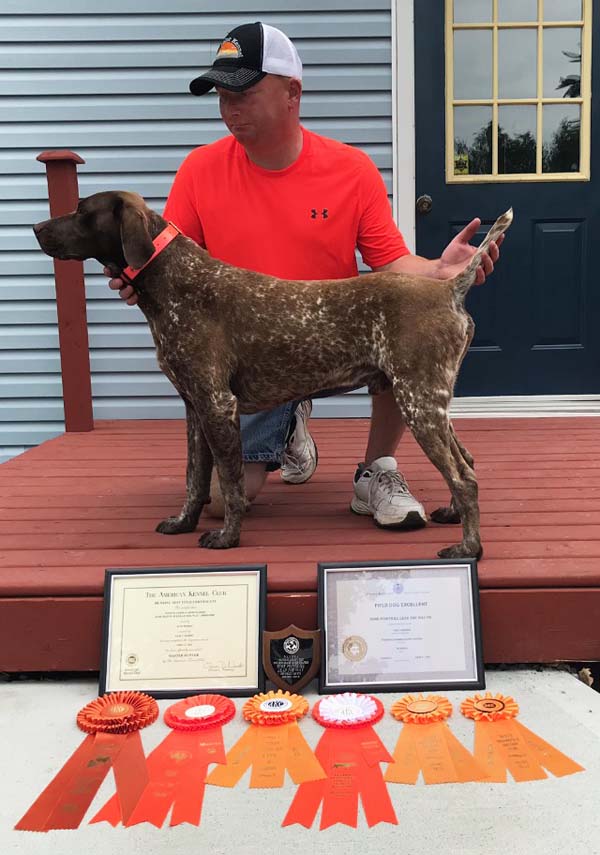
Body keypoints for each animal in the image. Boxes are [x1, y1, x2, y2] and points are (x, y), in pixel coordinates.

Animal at [34, 191, 510, 560]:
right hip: (427, 399)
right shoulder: (194, 407)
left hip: (417, 399)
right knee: (467, 460)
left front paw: (227, 537)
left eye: (81, 210)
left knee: (464, 476)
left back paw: (469, 547)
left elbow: (229, 483)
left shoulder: (217, 405)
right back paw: (452, 516)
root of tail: (449, 289)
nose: (37, 227)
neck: (175, 283)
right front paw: (184, 522)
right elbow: (194, 478)